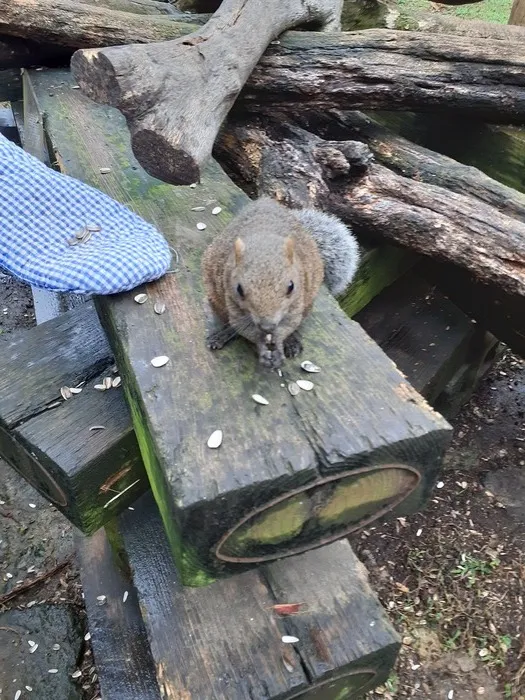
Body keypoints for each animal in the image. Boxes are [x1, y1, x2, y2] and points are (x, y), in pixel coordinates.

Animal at [202, 197, 360, 370]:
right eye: (239, 289)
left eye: (291, 286)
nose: (267, 326)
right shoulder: (230, 296)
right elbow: (244, 327)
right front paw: (262, 347)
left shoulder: (298, 298)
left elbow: (289, 325)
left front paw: (279, 343)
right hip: (216, 300)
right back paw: (223, 335)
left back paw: (291, 342)